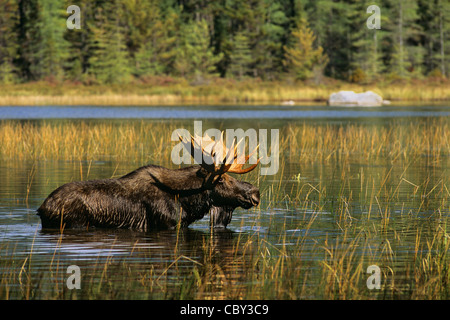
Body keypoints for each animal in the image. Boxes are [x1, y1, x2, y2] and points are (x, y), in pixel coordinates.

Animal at [37, 134, 260, 231]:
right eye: (222, 179)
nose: (255, 193)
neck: (188, 202)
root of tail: (42, 207)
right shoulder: (168, 224)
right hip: (75, 223)